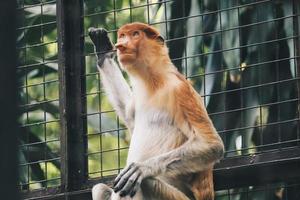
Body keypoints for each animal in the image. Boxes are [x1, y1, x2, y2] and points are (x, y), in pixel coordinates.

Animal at [88, 22, 224, 200]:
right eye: (122, 36)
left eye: (135, 34)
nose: (121, 46)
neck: (154, 80)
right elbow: (129, 115)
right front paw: (103, 49)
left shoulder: (180, 90)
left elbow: (212, 145)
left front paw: (142, 168)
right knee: (99, 188)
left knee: (144, 184)